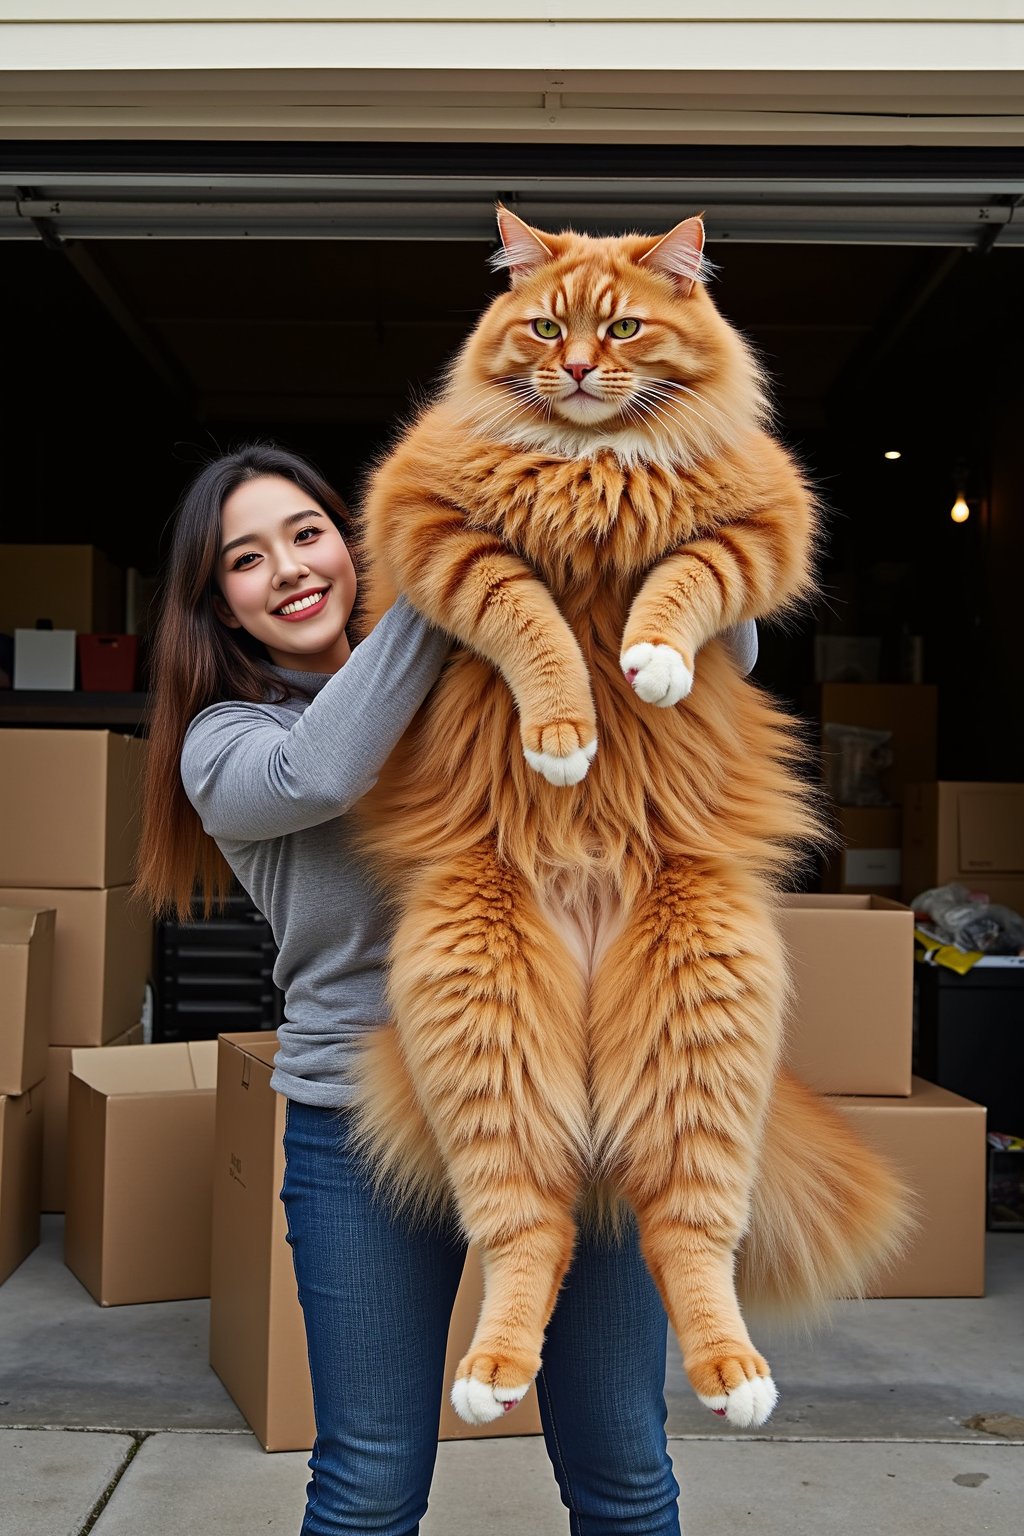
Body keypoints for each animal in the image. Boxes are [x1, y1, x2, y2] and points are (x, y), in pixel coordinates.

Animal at [353, 210, 914, 1431]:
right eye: (543, 326)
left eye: (620, 329)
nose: (570, 368)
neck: (591, 464)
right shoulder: (433, 527)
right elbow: (532, 619)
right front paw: (565, 735)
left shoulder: (759, 522)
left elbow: (680, 583)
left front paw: (651, 665)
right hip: (487, 1011)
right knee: (535, 1226)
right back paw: (491, 1376)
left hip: (695, 1014)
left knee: (682, 1231)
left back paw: (736, 1377)